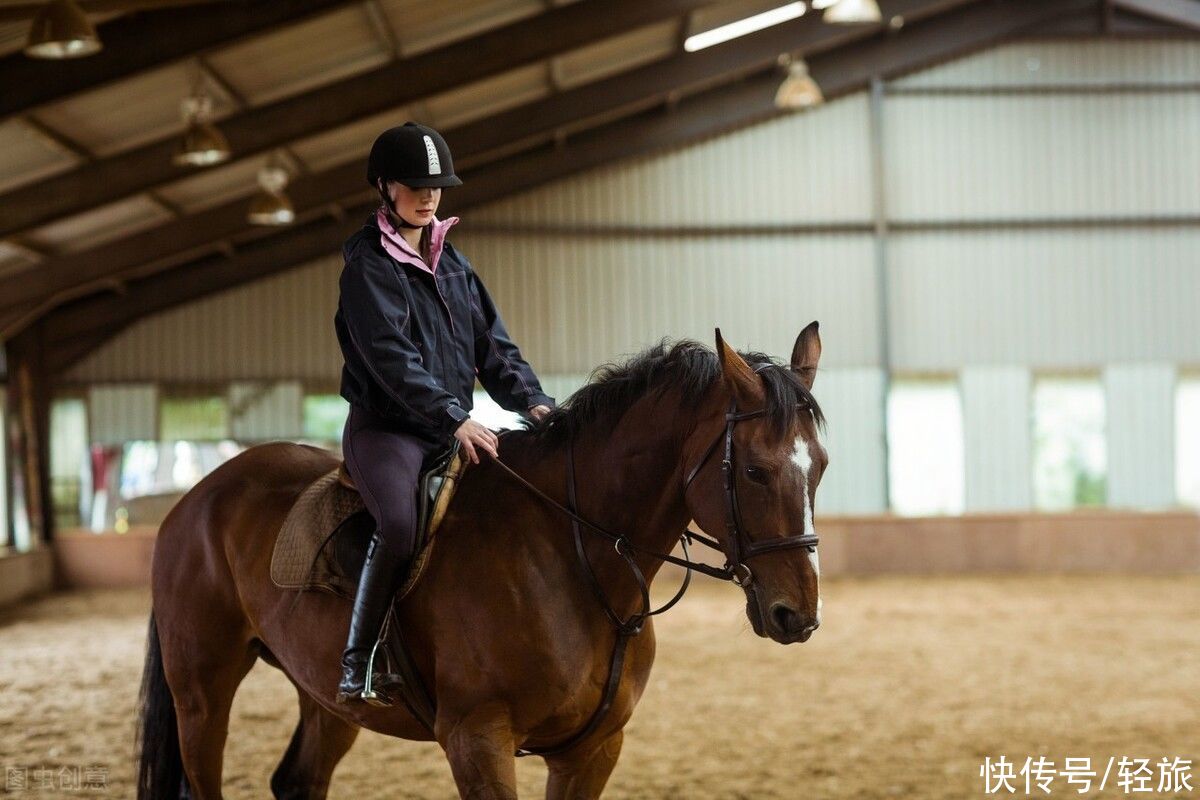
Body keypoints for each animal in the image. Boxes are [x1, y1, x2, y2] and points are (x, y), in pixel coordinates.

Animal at [133, 321, 825, 796]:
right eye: (755, 470)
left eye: (818, 465)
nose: (798, 615)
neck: (574, 559)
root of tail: (195, 500)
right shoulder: (477, 740)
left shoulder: (593, 750)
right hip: (201, 693)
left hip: (325, 698)